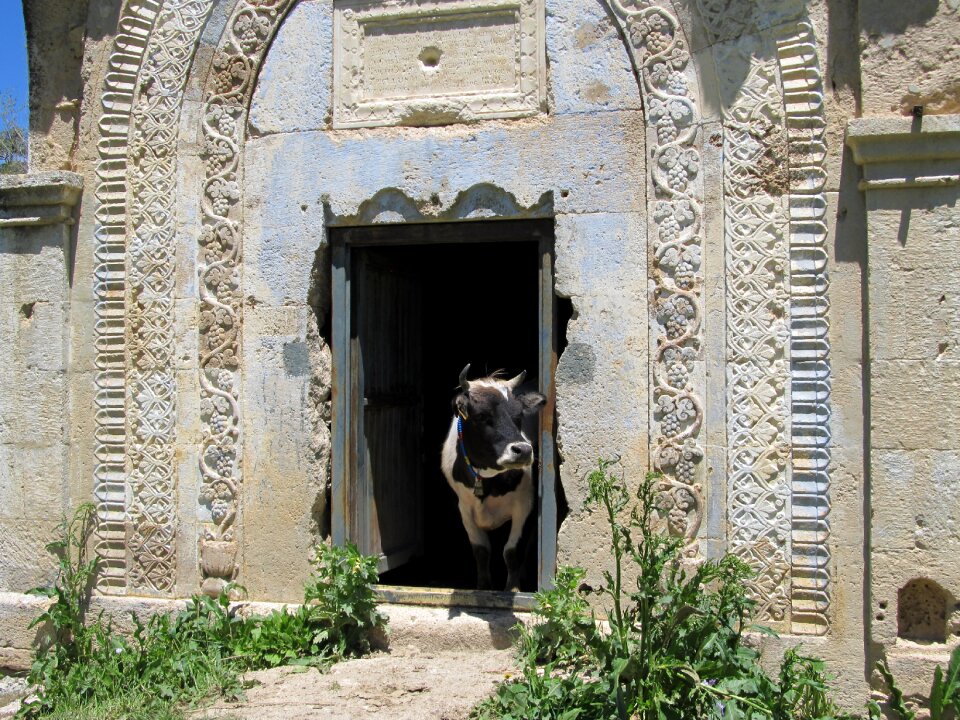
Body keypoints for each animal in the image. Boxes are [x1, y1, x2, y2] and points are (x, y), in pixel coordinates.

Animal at [438, 366, 544, 592]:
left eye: (519, 415)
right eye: (481, 415)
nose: (523, 451)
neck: (488, 480)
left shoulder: (526, 505)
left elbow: (512, 551)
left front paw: (512, 587)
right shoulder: (463, 507)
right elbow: (481, 550)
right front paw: (483, 586)